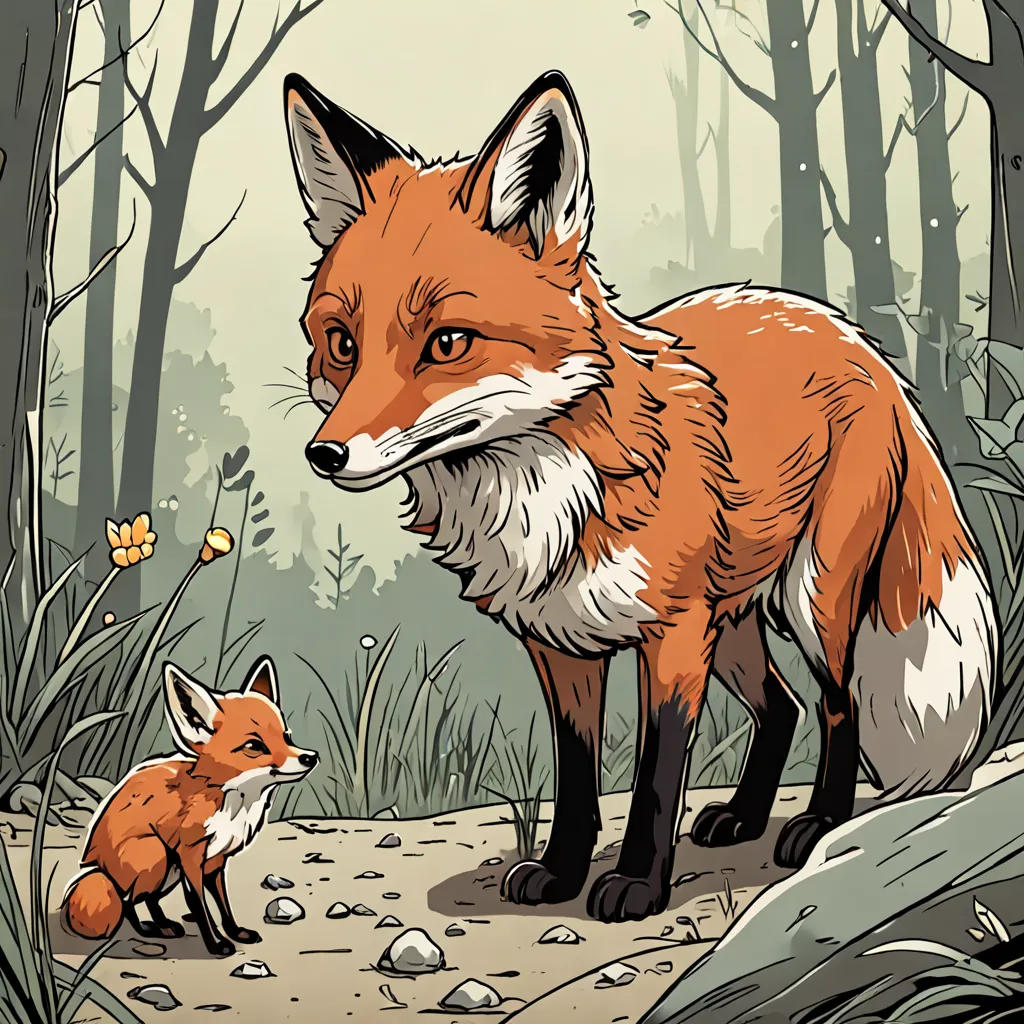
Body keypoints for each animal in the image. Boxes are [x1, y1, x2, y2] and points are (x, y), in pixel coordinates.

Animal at [61, 656, 318, 955]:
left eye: (286, 736)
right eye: (254, 745)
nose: (311, 757)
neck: (230, 804)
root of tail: (93, 864)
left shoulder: (216, 861)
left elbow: (223, 903)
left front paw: (235, 932)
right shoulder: (190, 856)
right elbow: (198, 903)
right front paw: (217, 945)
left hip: (168, 872)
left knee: (148, 899)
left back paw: (164, 926)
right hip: (157, 857)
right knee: (128, 900)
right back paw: (148, 928)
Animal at [281, 69, 998, 923]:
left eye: (448, 343)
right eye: (342, 343)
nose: (324, 454)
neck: (546, 490)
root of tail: (854, 338)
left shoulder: (673, 638)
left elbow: (657, 773)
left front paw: (636, 885)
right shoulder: (560, 643)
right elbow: (578, 776)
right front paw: (560, 872)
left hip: (811, 601)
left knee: (836, 707)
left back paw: (818, 826)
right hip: (736, 620)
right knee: (782, 707)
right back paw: (743, 817)